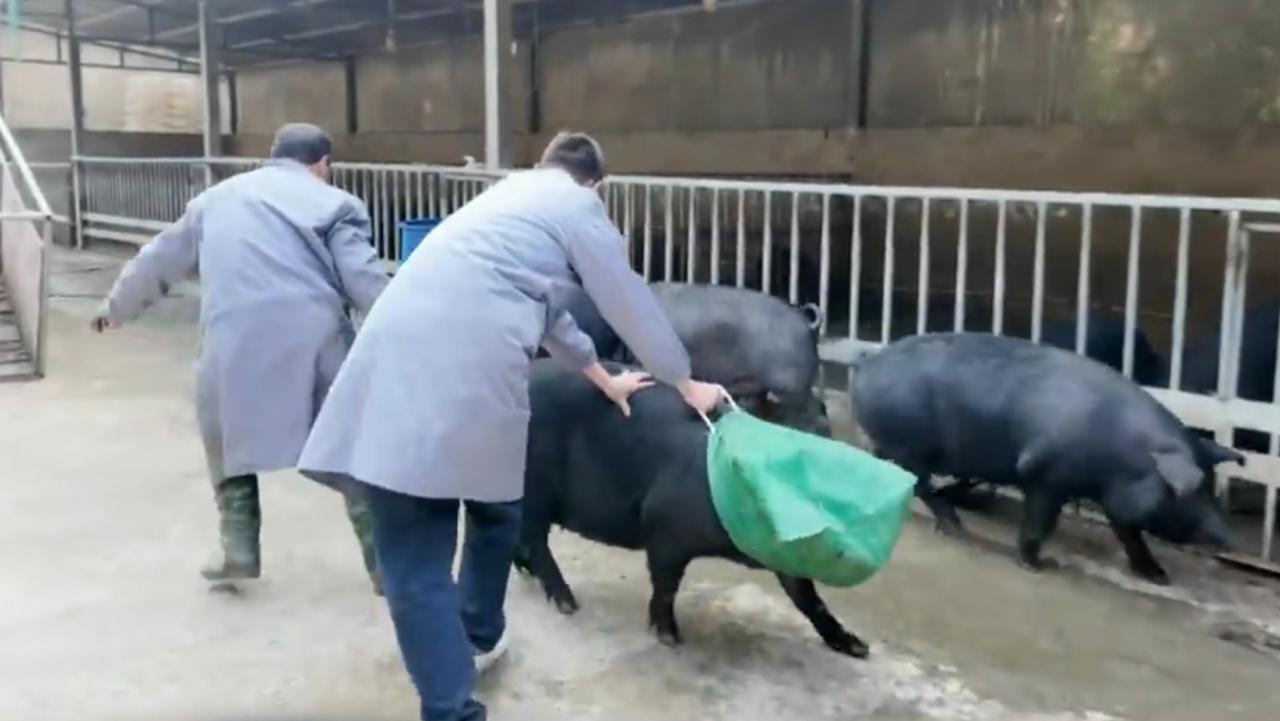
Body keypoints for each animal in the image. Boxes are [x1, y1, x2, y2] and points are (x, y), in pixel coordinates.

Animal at [514, 359, 869, 658]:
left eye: (826, 431)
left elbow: (808, 598)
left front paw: (857, 647)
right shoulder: (662, 526)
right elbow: (666, 584)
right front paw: (671, 638)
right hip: (533, 488)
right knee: (536, 540)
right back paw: (568, 603)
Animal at [851, 333, 1241, 585]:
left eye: (1210, 486)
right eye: (1191, 491)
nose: (1229, 538)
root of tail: (870, 362)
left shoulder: (1112, 497)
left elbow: (1130, 535)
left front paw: (1159, 577)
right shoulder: (1045, 472)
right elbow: (1040, 521)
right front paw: (1035, 566)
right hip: (909, 445)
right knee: (919, 484)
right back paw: (957, 529)